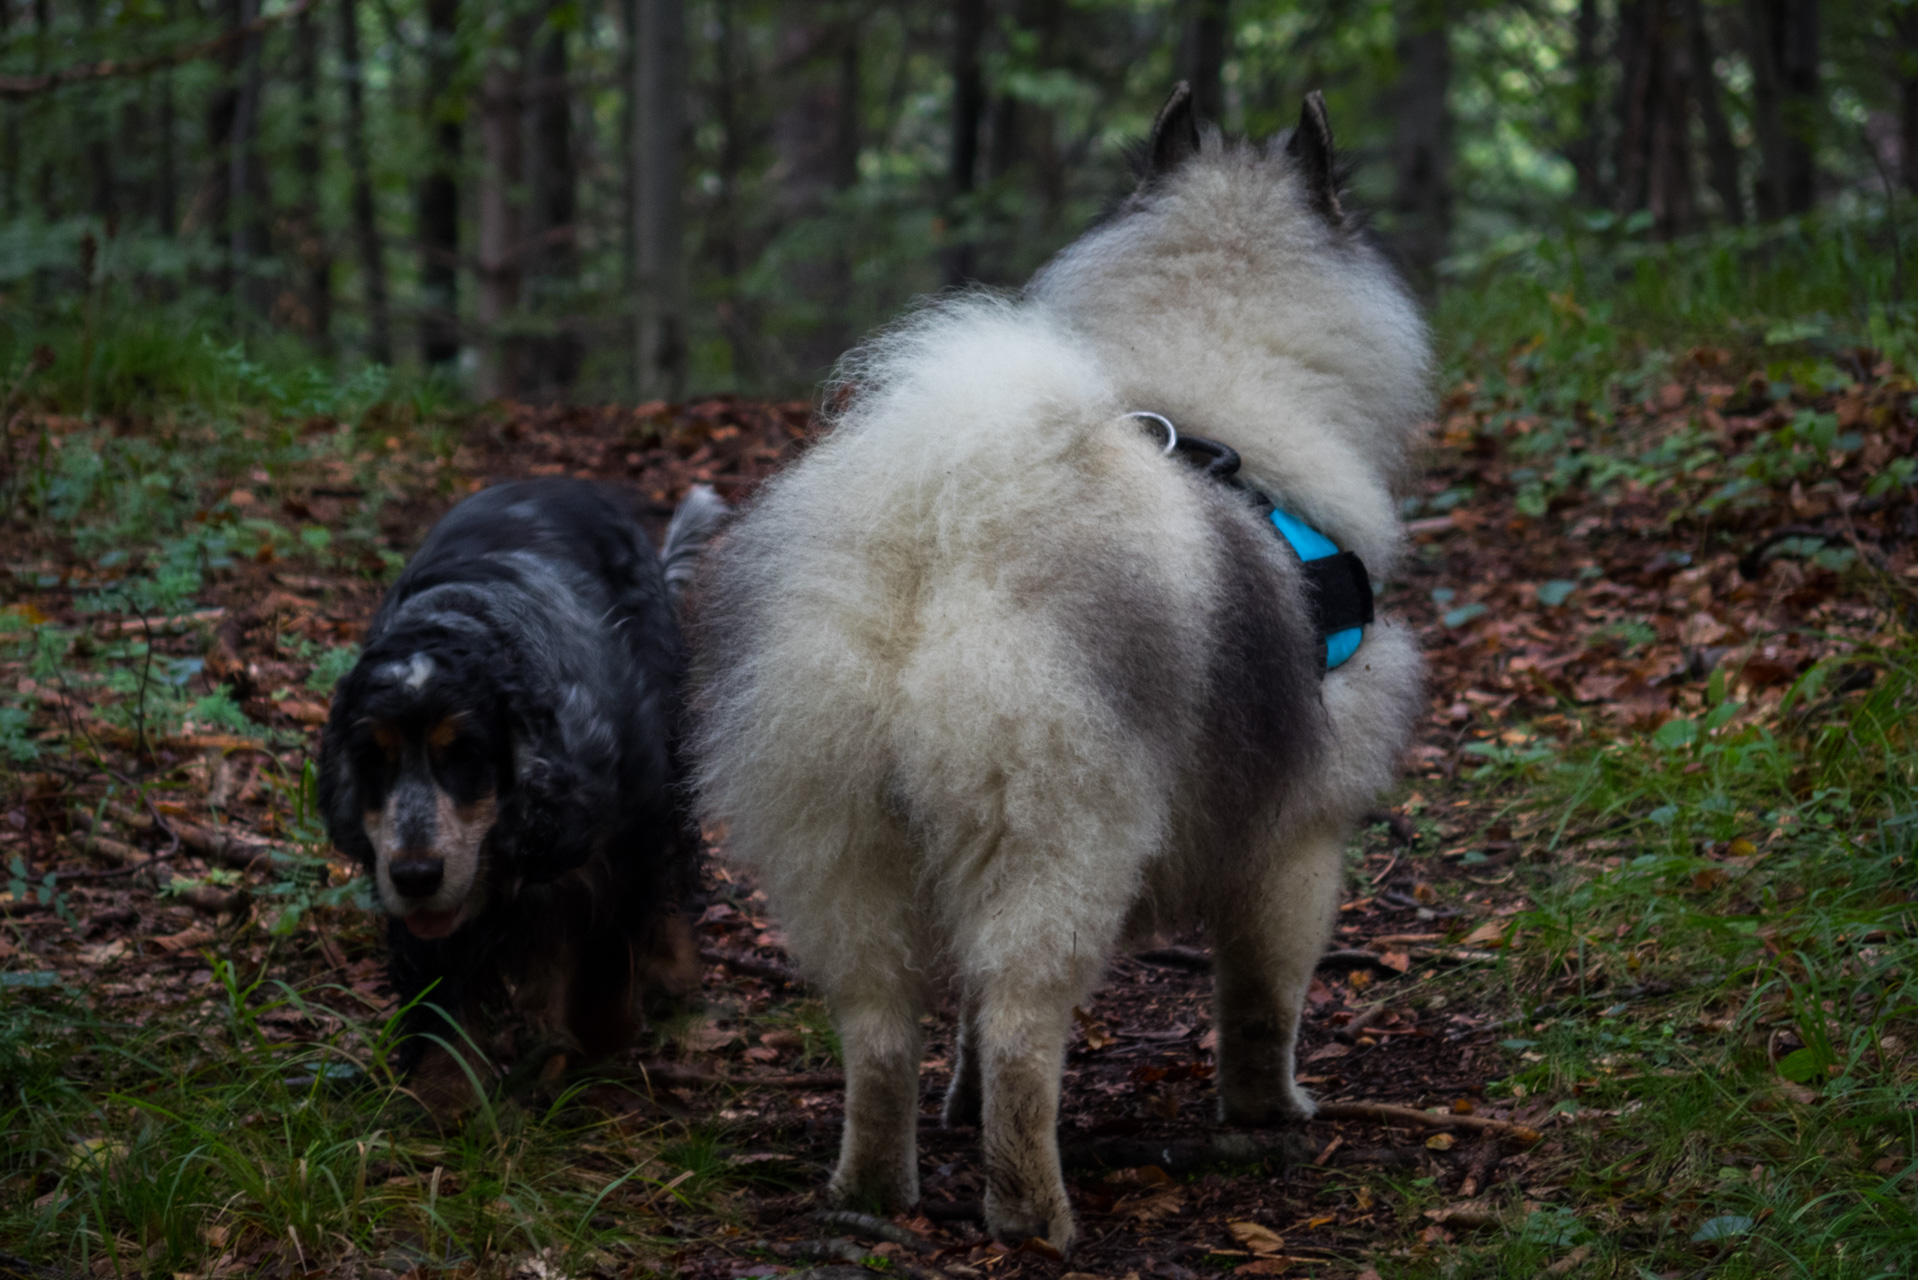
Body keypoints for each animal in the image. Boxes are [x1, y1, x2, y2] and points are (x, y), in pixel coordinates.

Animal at [322, 477, 725, 1113]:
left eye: (465, 754)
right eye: (372, 758)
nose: (416, 876)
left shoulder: (623, 842)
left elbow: (606, 965)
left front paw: (592, 1043)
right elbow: (442, 992)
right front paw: (444, 1093)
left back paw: (671, 973)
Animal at [690, 84, 1426, 1243]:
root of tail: (940, 541)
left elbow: (960, 1020)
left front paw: (958, 1105)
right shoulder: (1299, 838)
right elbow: (1264, 1000)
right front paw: (1270, 1113)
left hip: (843, 845)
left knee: (883, 1029)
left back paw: (871, 1195)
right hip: (1059, 838)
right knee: (1023, 1034)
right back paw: (1033, 1211)